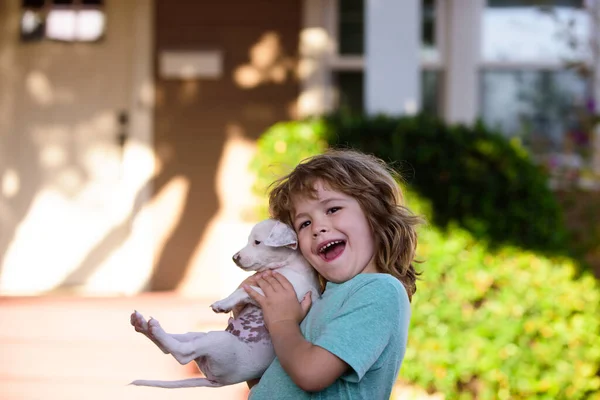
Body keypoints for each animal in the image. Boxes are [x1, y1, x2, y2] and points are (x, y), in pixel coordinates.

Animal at [129, 219, 322, 388]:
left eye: (257, 242)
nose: (234, 258)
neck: (287, 266)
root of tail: (219, 381)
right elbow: (242, 289)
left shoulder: (290, 292)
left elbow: (243, 290)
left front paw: (222, 304)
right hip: (202, 336)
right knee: (176, 345)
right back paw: (143, 325)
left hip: (219, 340)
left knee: (183, 353)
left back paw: (150, 328)